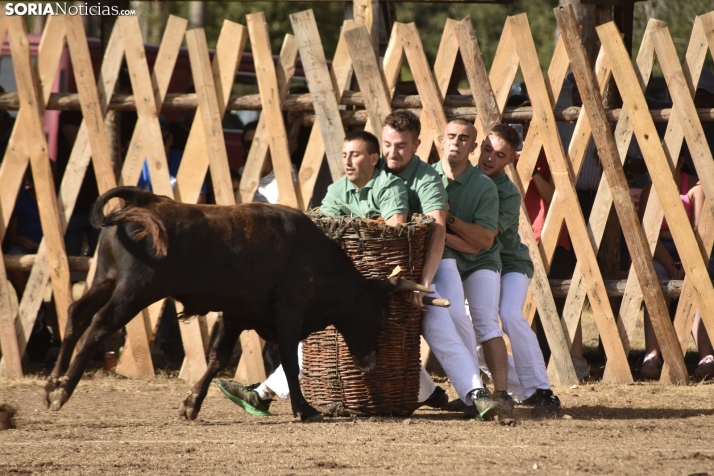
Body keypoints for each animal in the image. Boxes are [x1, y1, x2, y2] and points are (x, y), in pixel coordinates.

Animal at [46, 186, 434, 420]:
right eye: (379, 313)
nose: (370, 363)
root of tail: (146, 202)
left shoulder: (235, 315)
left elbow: (217, 359)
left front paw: (191, 404)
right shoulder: (289, 313)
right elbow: (289, 362)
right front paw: (304, 409)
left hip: (105, 278)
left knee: (75, 314)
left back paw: (51, 384)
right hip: (134, 291)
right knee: (98, 325)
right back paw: (62, 391)